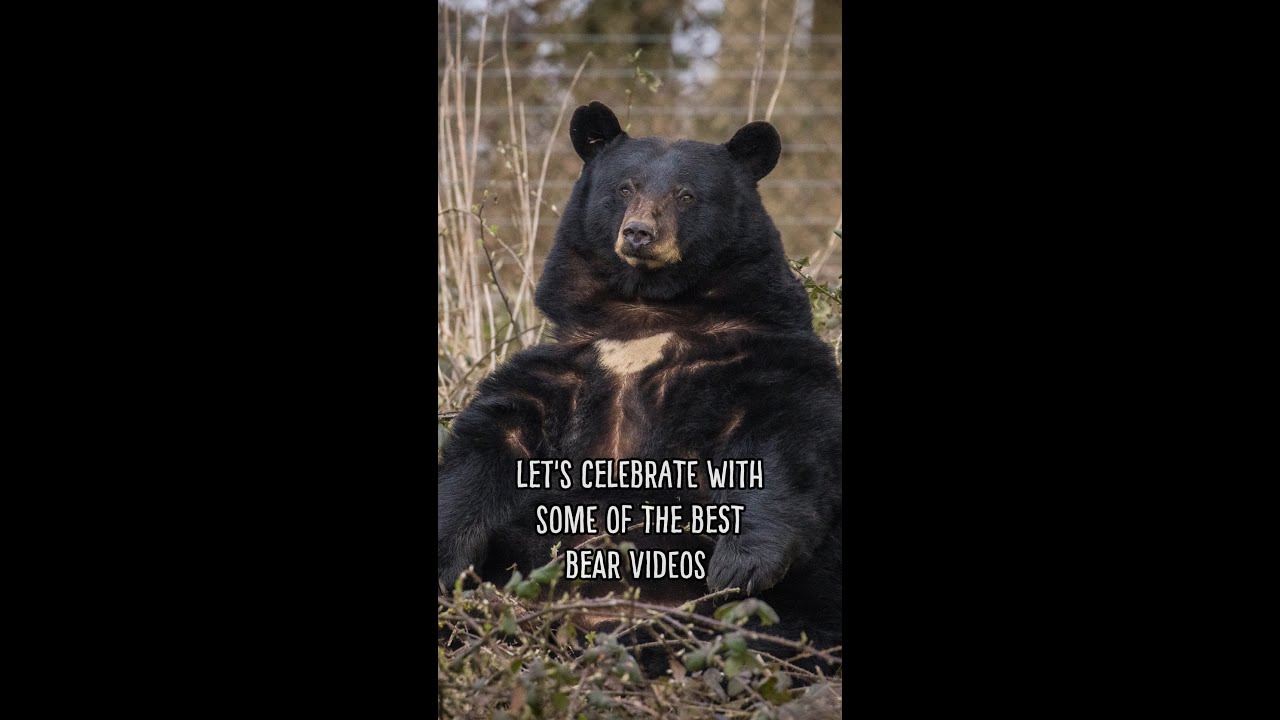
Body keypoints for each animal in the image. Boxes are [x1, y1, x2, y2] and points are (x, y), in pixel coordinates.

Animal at [438, 101, 842, 672]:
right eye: (625, 187)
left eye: (687, 195)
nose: (639, 234)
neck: (646, 313)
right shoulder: (564, 369)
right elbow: (490, 446)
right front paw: (445, 562)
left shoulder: (760, 355)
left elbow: (783, 435)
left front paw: (741, 566)